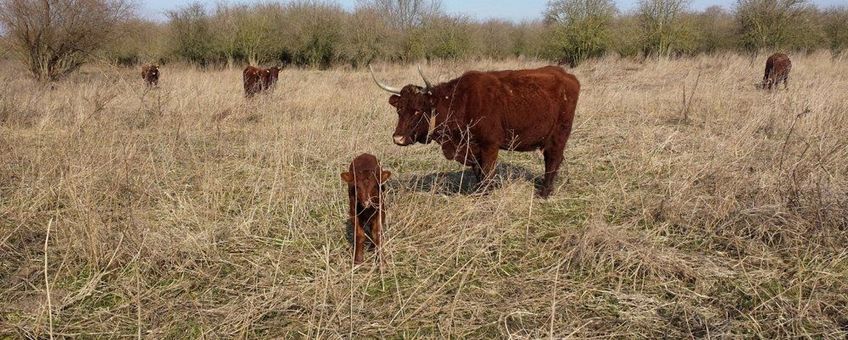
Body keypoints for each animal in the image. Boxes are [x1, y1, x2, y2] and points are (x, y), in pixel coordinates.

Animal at [372, 65, 580, 198]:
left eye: (417, 110)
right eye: (399, 110)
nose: (398, 138)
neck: (460, 102)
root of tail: (564, 74)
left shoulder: (490, 146)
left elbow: (486, 173)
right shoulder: (472, 150)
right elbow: (479, 174)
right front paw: (480, 192)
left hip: (558, 135)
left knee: (552, 161)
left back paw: (544, 193)